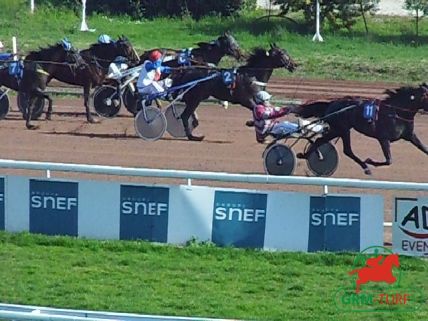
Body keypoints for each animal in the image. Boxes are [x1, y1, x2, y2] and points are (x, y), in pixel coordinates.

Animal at [292, 81, 428, 174]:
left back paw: (305, 155)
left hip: (337, 130)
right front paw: (369, 161)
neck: (396, 112)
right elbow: (389, 160)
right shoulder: (383, 138)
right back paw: (365, 167)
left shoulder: (410, 135)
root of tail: (331, 104)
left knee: (320, 141)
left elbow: (424, 149)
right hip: (343, 129)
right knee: (347, 150)